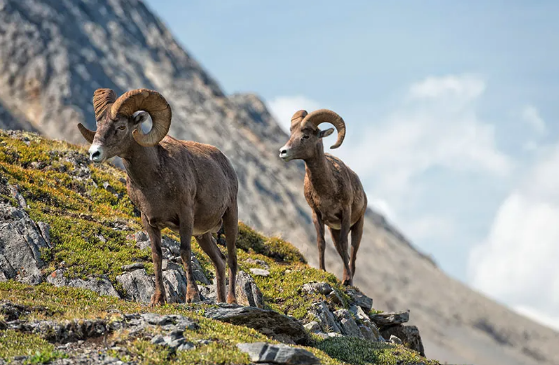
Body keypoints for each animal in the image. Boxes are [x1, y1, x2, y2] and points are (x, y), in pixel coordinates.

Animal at [77, 88, 238, 304]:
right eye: (99, 126)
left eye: (121, 127)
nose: (94, 153)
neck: (154, 180)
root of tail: (225, 163)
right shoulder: (149, 221)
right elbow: (157, 256)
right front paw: (158, 299)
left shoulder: (185, 216)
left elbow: (184, 252)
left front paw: (192, 296)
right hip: (203, 235)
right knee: (219, 261)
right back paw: (220, 301)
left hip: (230, 218)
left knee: (231, 260)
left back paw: (231, 301)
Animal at [280, 109, 368, 286]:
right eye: (292, 133)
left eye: (305, 136)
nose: (283, 152)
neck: (326, 189)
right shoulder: (317, 215)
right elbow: (321, 243)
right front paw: (322, 270)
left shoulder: (345, 213)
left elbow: (344, 244)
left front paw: (347, 280)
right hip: (334, 229)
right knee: (342, 251)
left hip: (358, 225)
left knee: (352, 253)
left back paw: (349, 279)